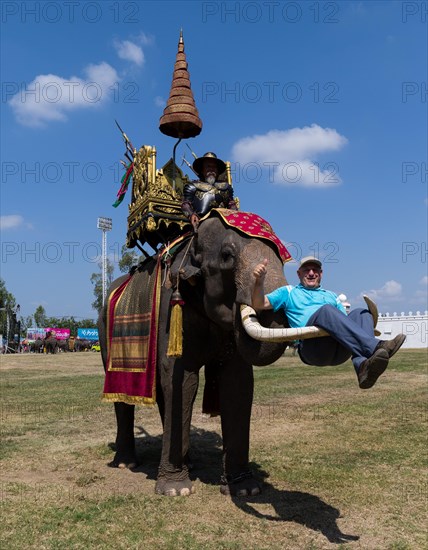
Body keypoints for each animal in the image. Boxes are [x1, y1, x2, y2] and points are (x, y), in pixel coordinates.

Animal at [98, 211, 290, 500]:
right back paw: (126, 463)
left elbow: (237, 383)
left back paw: (188, 462)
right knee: (126, 397)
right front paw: (175, 490)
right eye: (227, 256)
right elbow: (182, 377)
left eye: (282, 254)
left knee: (163, 392)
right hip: (106, 335)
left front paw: (245, 489)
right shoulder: (172, 309)